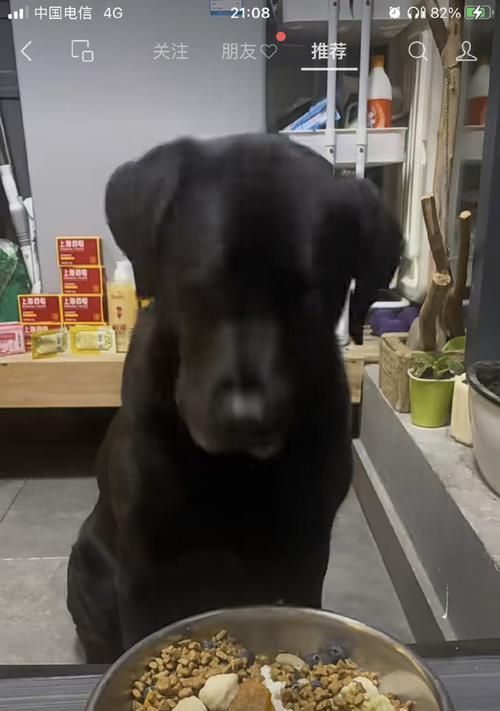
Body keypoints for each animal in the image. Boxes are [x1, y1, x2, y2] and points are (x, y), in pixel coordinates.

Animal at [67, 134, 401, 663]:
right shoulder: (143, 572)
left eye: (311, 301)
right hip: (88, 571)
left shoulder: (307, 557)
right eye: (199, 284)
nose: (246, 419)